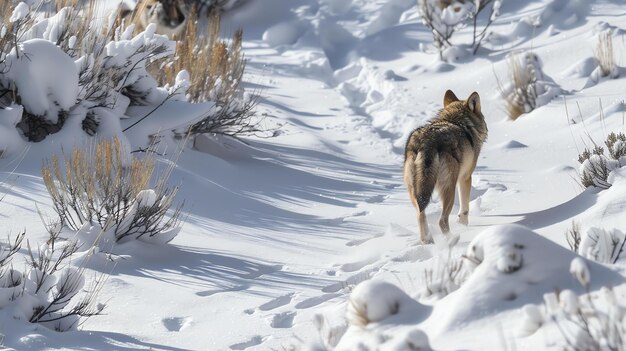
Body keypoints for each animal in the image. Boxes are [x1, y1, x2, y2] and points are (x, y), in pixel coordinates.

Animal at [402, 91, 486, 243]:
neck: (457, 121)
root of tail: (426, 142)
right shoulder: (465, 177)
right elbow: (464, 208)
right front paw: (463, 225)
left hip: (415, 191)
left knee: (420, 214)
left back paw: (428, 242)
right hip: (449, 189)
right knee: (442, 221)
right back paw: (453, 240)